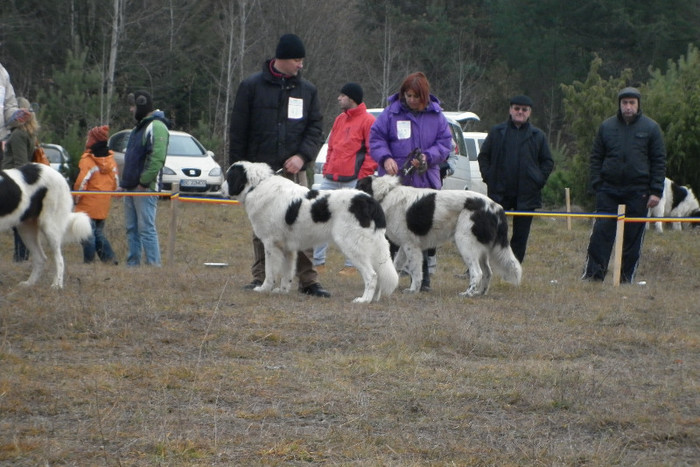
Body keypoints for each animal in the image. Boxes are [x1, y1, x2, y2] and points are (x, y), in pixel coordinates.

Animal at [227, 163, 396, 306]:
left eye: (228, 177)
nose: (222, 186)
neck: (257, 185)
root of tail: (370, 201)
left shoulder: (270, 244)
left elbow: (270, 272)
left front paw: (264, 289)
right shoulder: (287, 248)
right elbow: (287, 273)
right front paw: (282, 291)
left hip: (352, 246)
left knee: (372, 275)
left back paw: (364, 300)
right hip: (373, 247)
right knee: (379, 273)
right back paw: (373, 299)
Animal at [358, 176, 524, 296]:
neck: (386, 193)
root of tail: (496, 207)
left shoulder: (411, 246)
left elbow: (416, 271)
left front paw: (413, 290)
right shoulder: (405, 246)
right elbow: (396, 265)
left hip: (465, 242)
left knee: (477, 272)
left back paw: (468, 293)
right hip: (480, 248)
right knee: (488, 272)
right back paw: (480, 293)